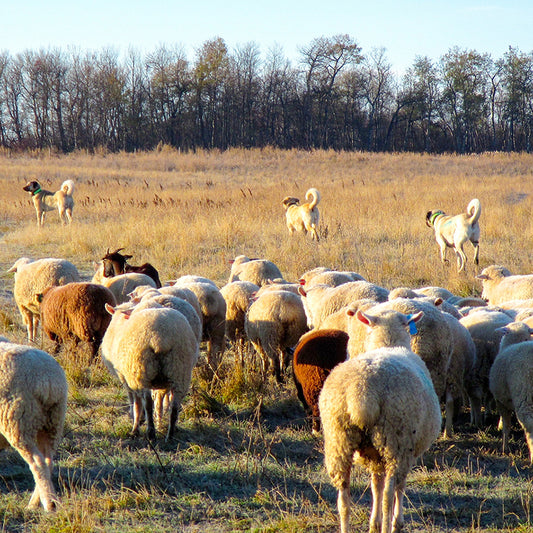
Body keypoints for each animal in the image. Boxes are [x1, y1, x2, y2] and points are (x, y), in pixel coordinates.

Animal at [0, 338, 68, 510]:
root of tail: (47, 381)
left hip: (18, 423)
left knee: (37, 462)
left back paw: (48, 504)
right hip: (53, 422)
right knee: (48, 461)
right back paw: (38, 501)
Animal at [101, 306, 197, 438]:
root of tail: (160, 338)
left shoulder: (128, 380)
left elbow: (136, 404)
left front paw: (136, 427)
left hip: (141, 372)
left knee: (147, 403)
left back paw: (150, 432)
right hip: (180, 372)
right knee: (174, 406)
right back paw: (170, 435)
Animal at [318, 308, 438, 532]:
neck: (388, 343)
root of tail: (362, 392)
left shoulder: (373, 455)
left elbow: (375, 485)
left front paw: (374, 523)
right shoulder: (407, 451)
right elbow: (398, 487)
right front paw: (395, 522)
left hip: (338, 439)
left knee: (344, 497)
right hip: (395, 440)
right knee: (390, 491)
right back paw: (389, 525)